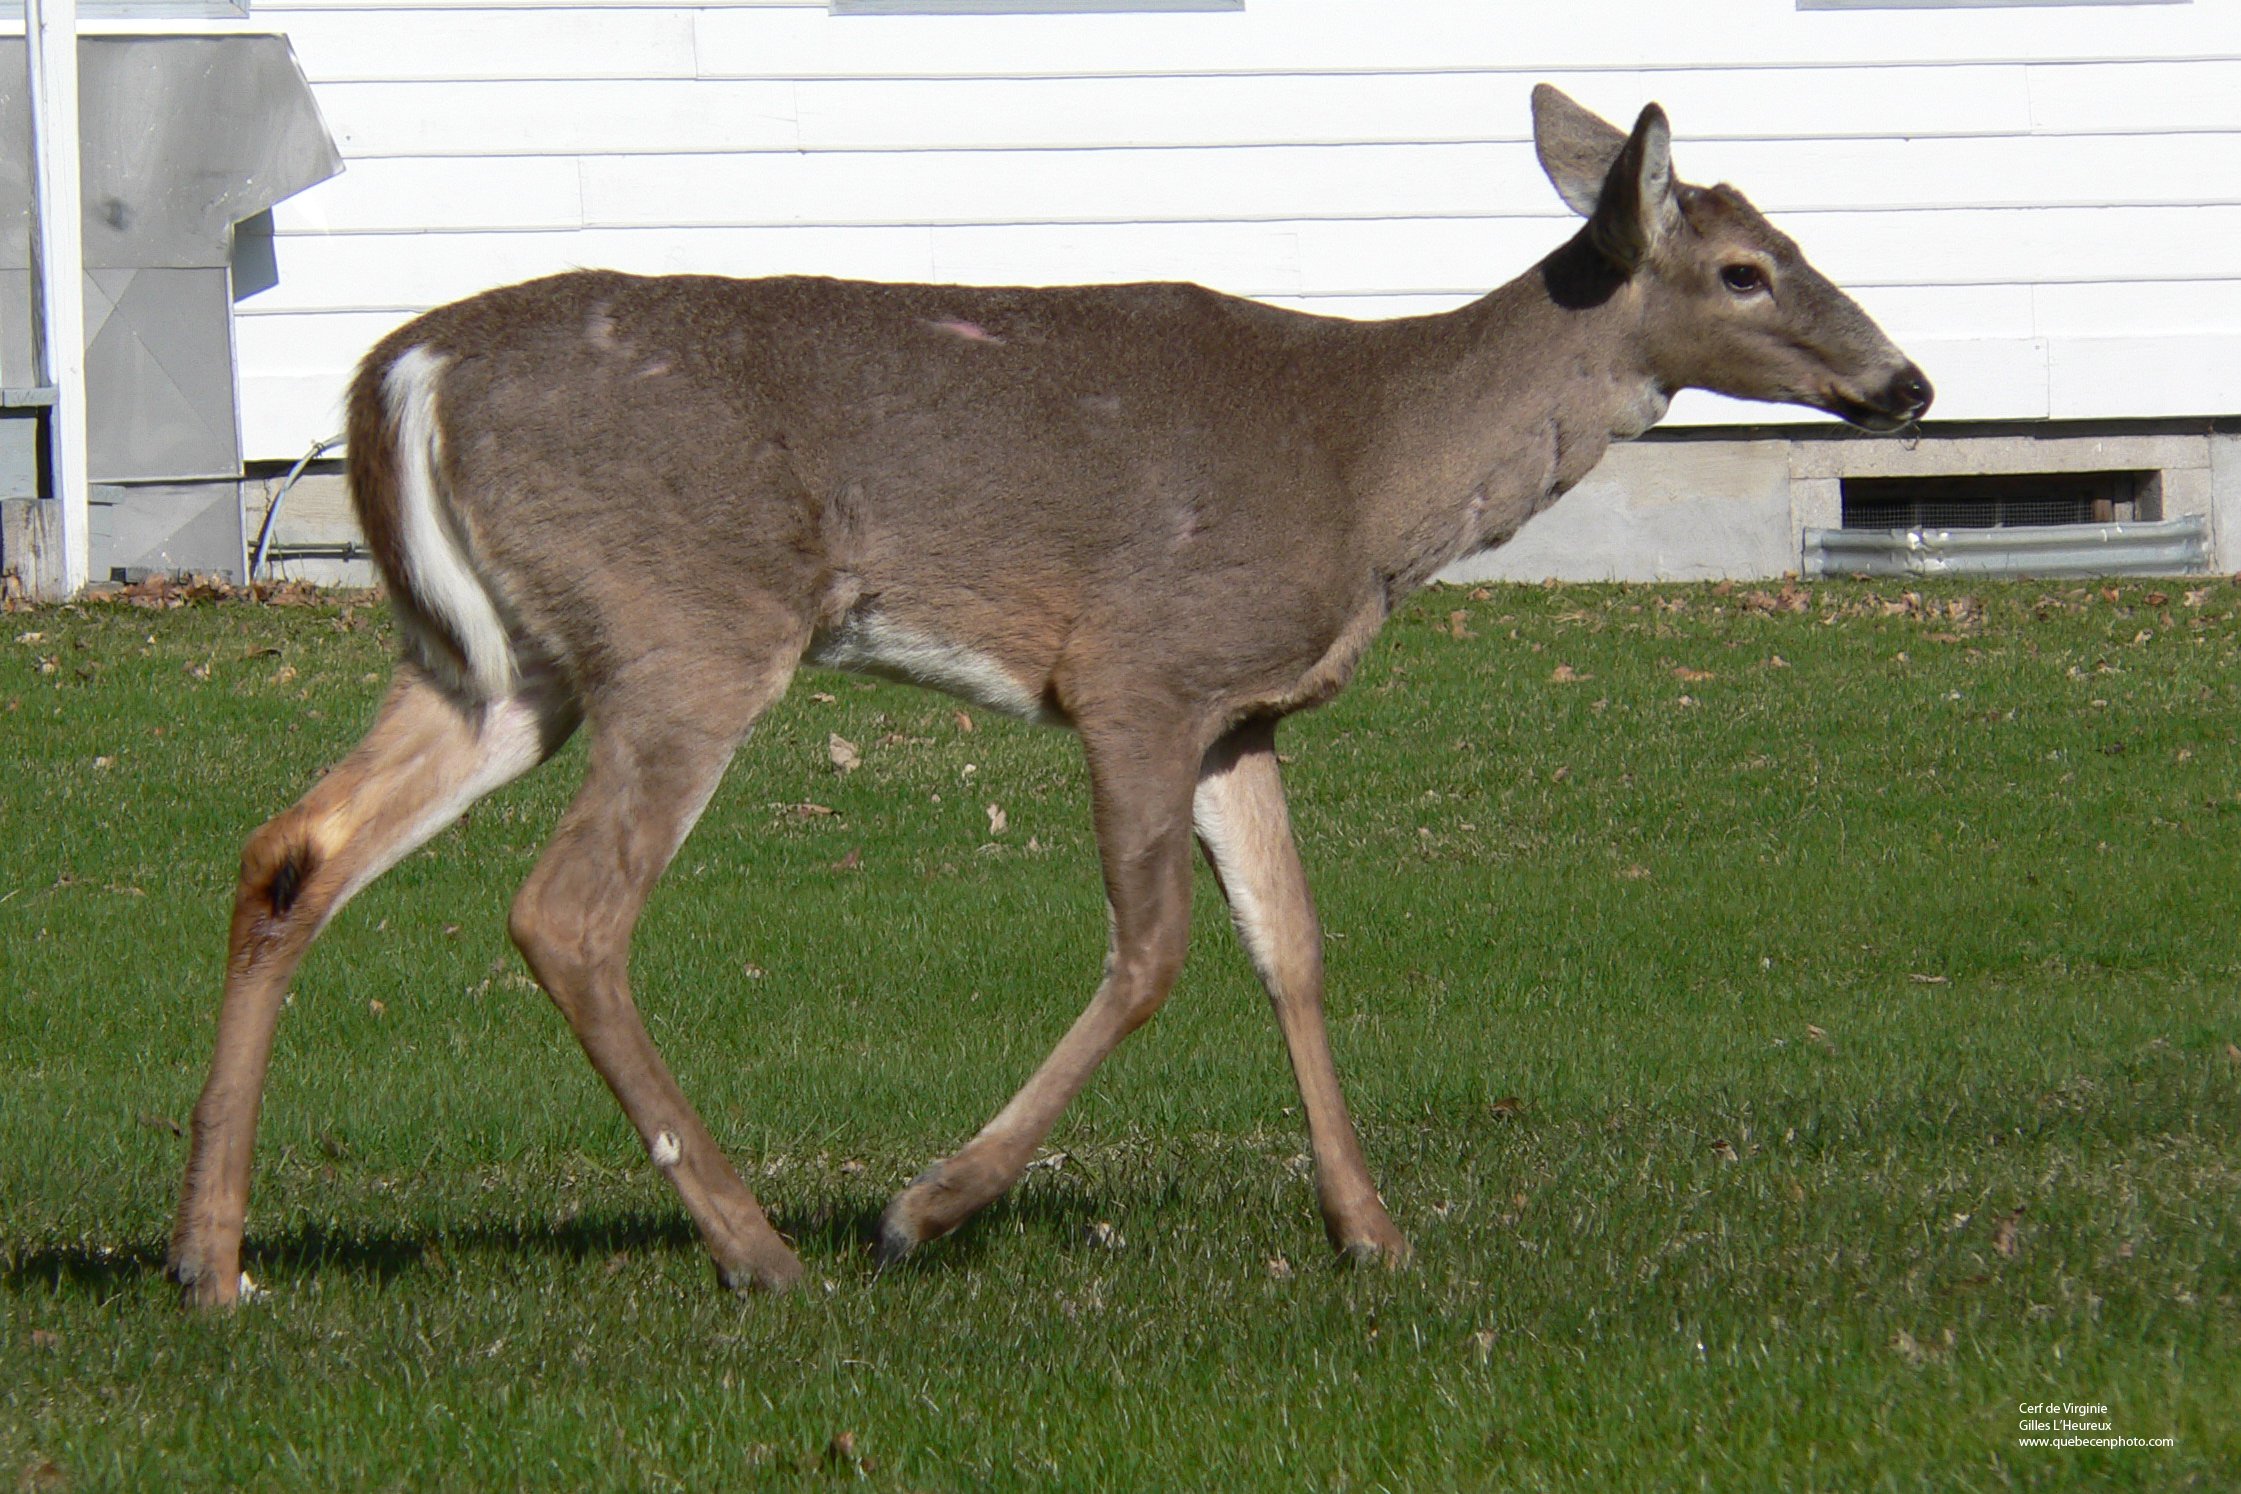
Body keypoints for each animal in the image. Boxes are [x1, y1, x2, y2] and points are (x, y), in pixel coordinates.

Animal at [170, 87, 1927, 1299]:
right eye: (1746, 268)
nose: (1904, 381)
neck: (1370, 476)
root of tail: (399, 372)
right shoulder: (1139, 666)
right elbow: (1152, 954)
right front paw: (922, 1204)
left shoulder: (1240, 707)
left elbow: (1291, 946)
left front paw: (1369, 1229)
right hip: (687, 624)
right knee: (567, 909)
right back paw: (760, 1247)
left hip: (500, 665)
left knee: (290, 849)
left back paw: (213, 1254)